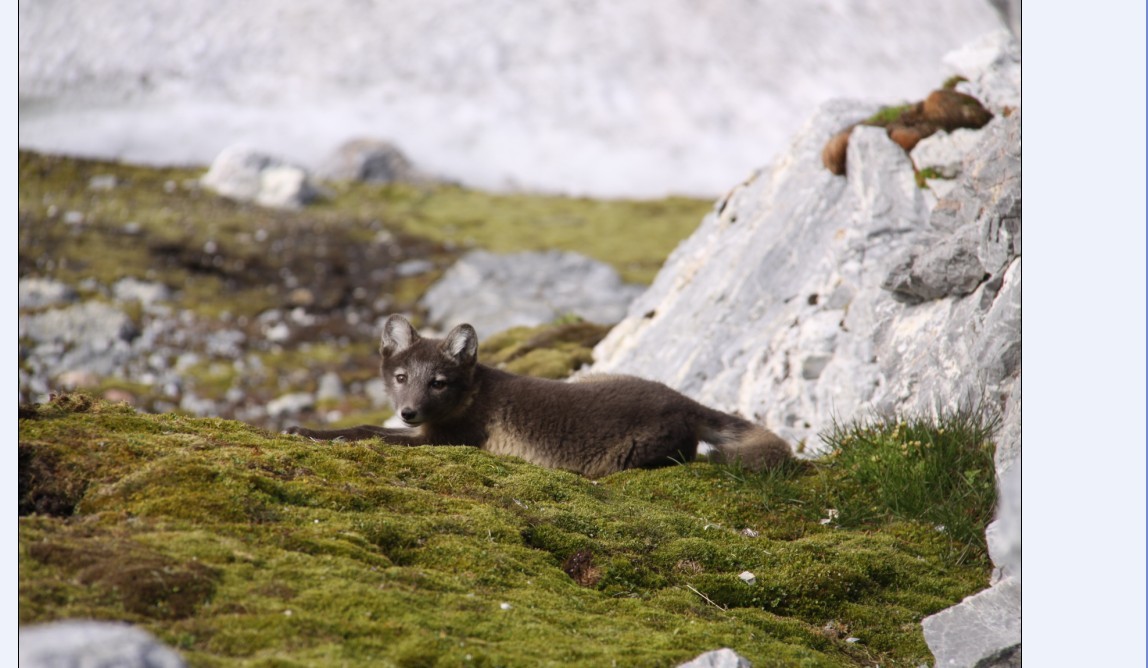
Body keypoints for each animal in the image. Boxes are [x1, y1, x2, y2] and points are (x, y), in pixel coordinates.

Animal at [287, 316, 789, 479]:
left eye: (439, 383)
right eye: (400, 376)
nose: (409, 411)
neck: (474, 394)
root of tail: (683, 401)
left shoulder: (444, 440)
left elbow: (370, 432)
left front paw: (318, 433)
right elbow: (370, 426)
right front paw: (306, 429)